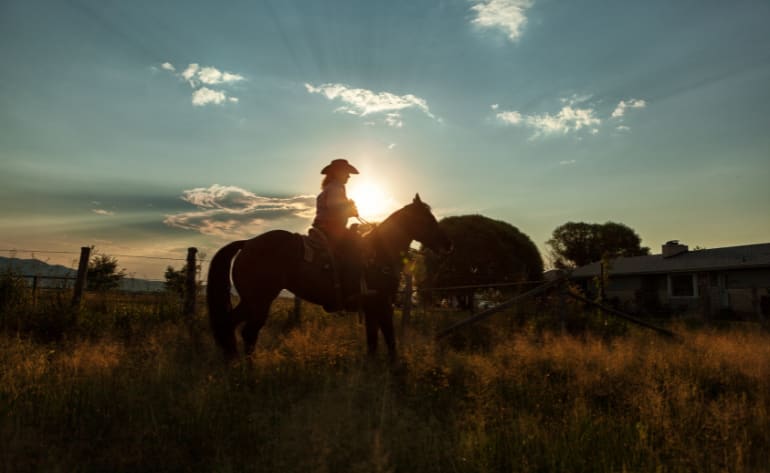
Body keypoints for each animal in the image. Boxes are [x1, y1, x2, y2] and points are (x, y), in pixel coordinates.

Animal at [207, 194, 452, 360]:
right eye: (428, 219)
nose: (447, 245)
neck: (379, 251)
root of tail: (247, 243)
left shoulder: (371, 307)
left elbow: (373, 342)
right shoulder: (382, 304)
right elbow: (390, 340)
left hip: (250, 301)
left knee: (229, 325)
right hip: (260, 301)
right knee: (248, 333)